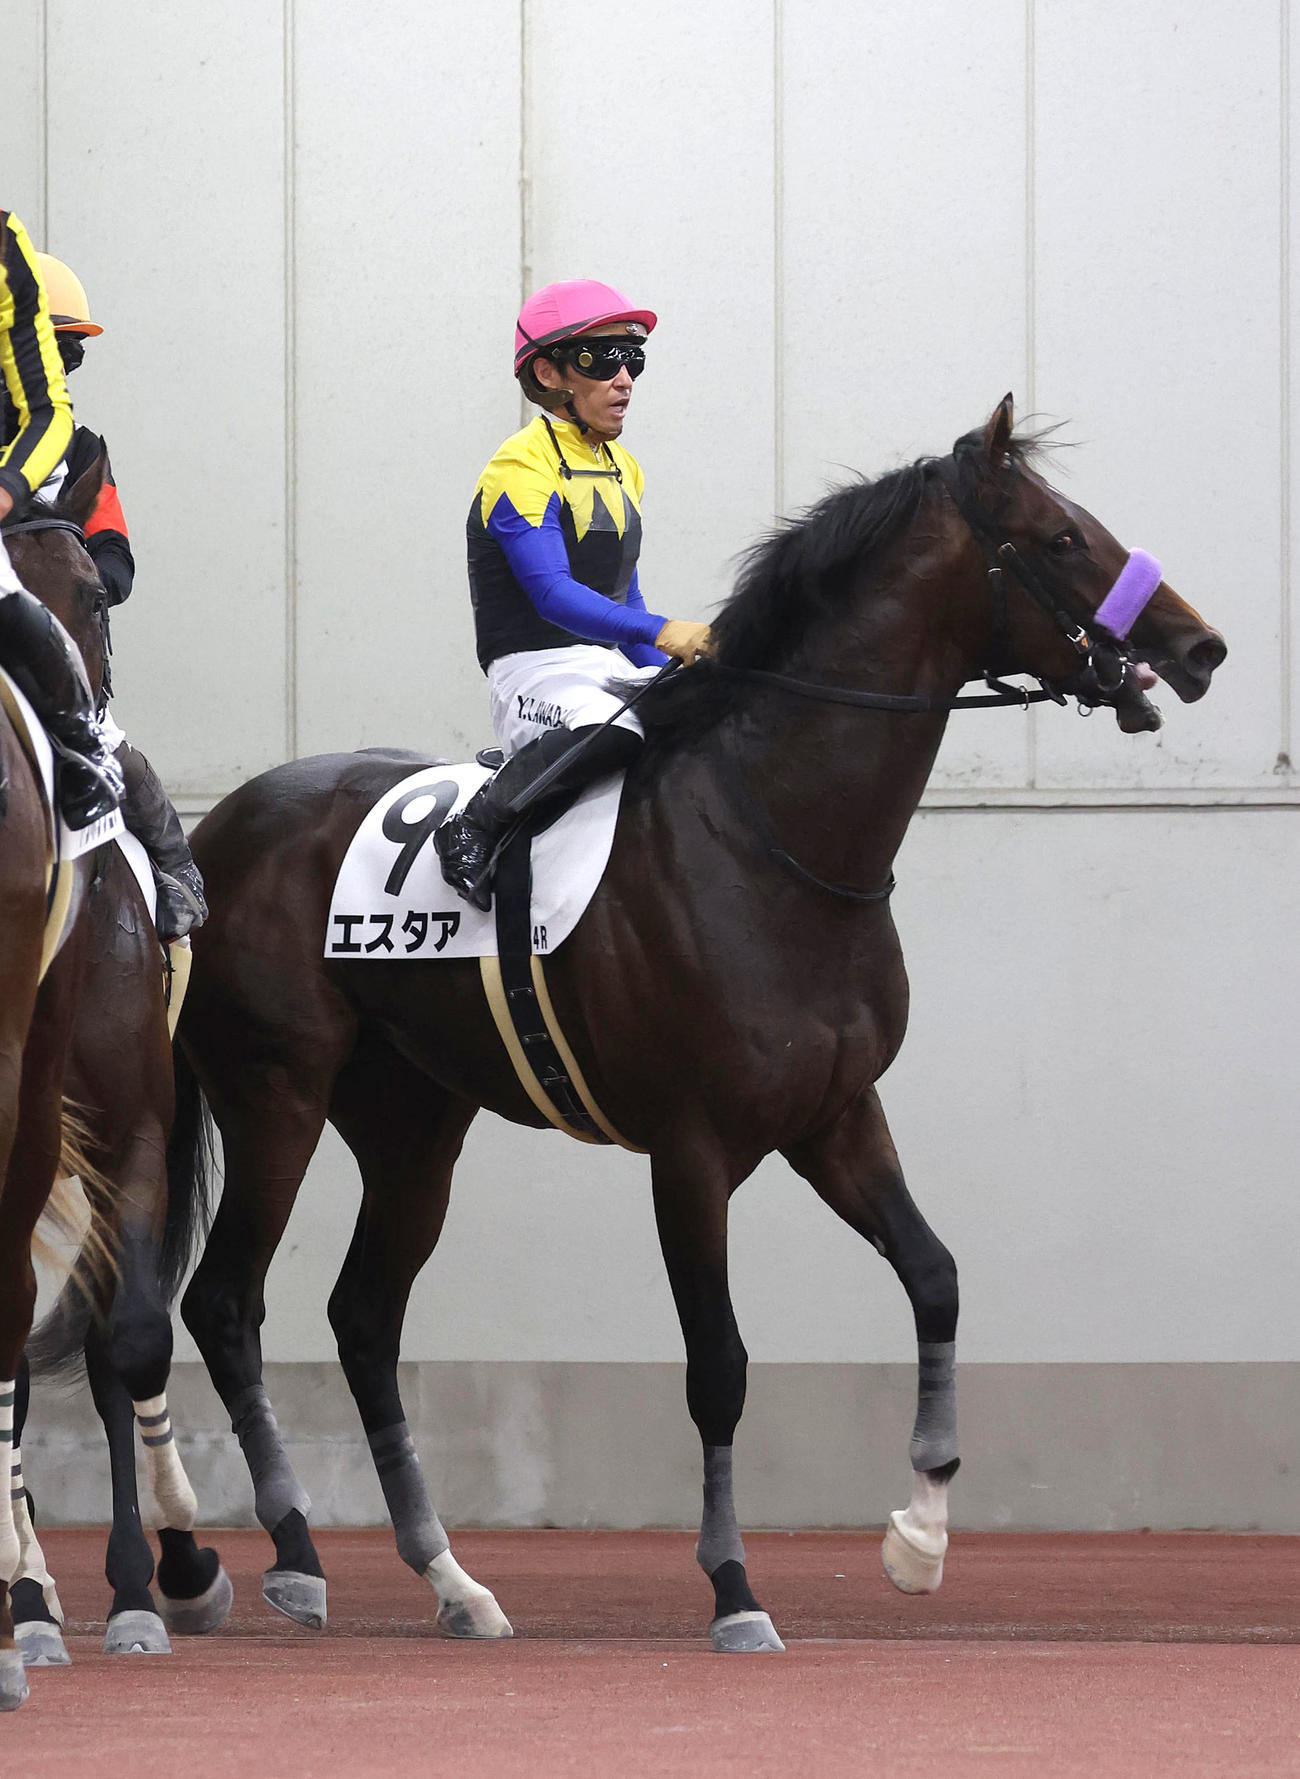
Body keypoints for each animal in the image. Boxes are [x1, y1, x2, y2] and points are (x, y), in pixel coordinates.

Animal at [166, 396, 1225, 1652]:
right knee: (225, 1303)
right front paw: (734, 1588)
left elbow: (935, 1276)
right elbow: (717, 1364)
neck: (777, 839)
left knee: (365, 1318)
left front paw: (919, 1536)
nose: (1199, 648)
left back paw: (453, 1581)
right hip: (275, 1093)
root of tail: (214, 828)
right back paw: (291, 1555)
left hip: (413, 1122)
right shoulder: (692, 1148)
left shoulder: (834, 1116)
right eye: (1062, 538)